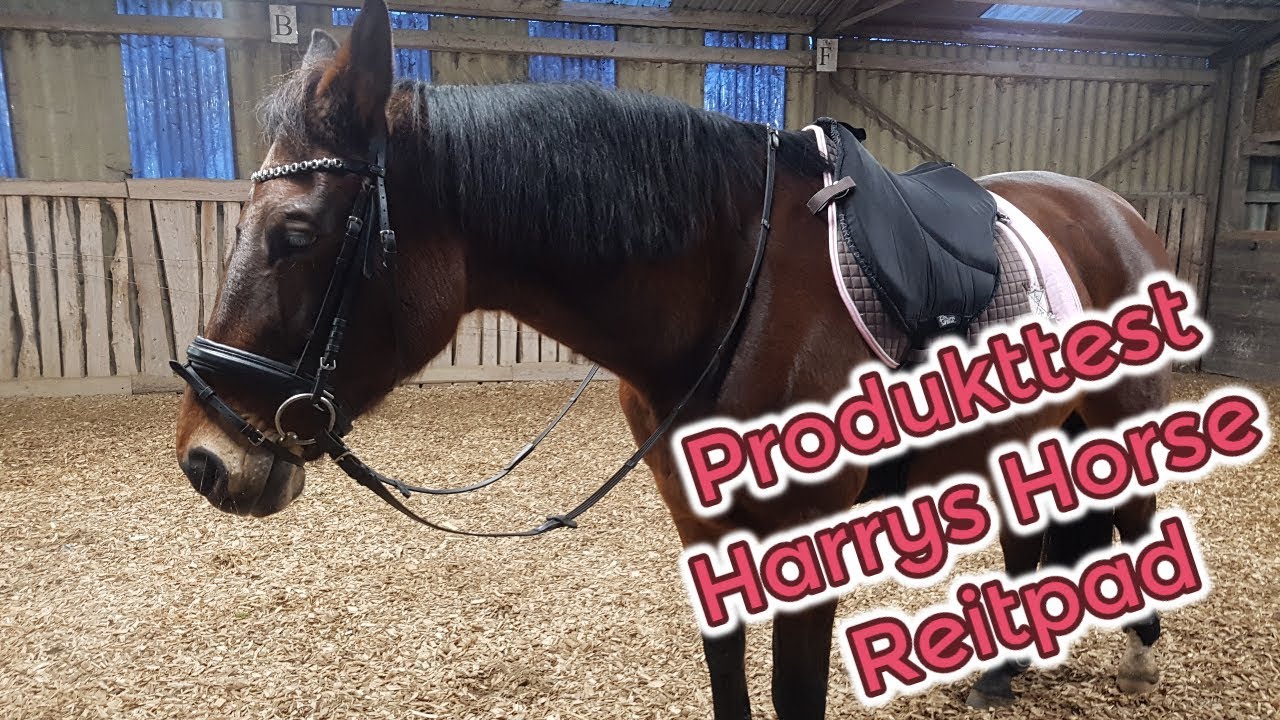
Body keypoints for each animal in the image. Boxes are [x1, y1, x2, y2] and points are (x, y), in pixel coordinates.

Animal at [172, 2, 1171, 717]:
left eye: (296, 234)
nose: (204, 459)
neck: (738, 288)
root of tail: (1114, 209)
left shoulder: (810, 531)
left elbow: (793, 694)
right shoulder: (700, 521)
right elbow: (727, 679)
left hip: (1123, 411)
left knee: (1136, 511)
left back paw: (1138, 653)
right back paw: (1004, 672)